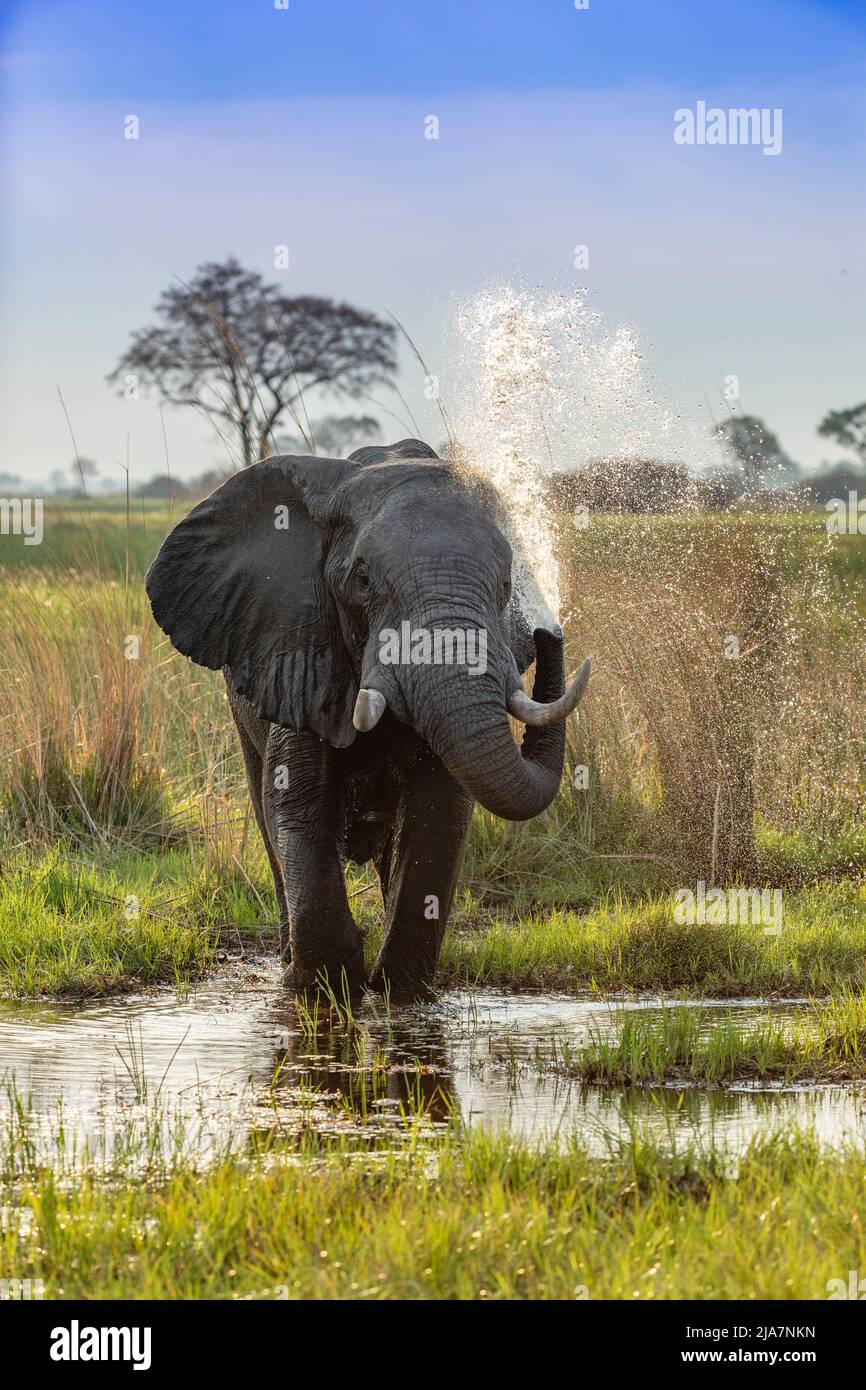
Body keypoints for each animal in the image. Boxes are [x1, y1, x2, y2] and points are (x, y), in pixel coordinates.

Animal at [147, 439, 589, 995]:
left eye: (508, 585)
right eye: (362, 581)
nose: (550, 629)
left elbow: (438, 812)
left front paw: (398, 990)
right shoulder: (300, 654)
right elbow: (296, 799)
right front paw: (322, 985)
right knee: (265, 812)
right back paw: (288, 955)